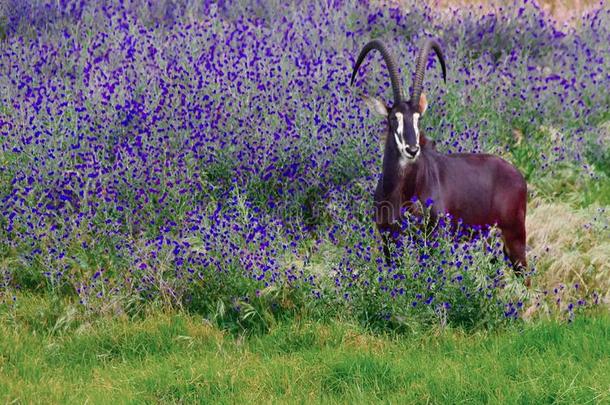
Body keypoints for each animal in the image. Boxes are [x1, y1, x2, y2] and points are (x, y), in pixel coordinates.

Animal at [350, 38, 524, 278]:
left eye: (418, 118)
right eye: (394, 118)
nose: (412, 149)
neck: (400, 191)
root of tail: (519, 177)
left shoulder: (432, 238)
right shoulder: (388, 239)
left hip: (514, 238)